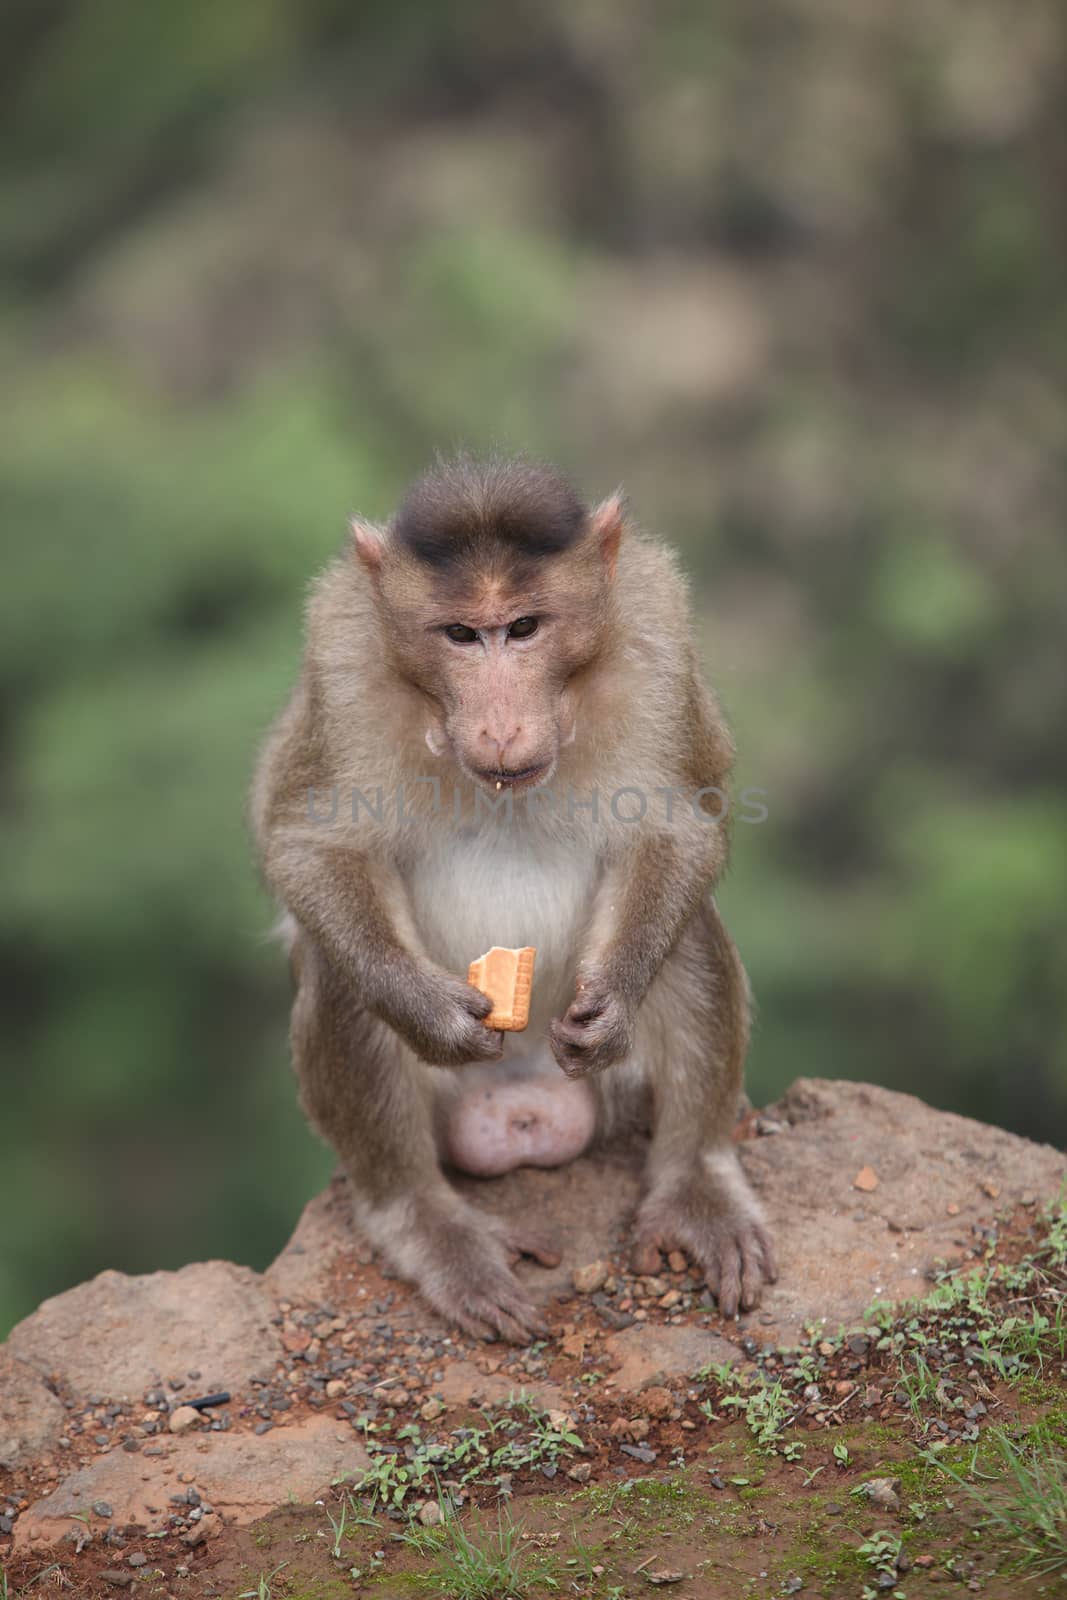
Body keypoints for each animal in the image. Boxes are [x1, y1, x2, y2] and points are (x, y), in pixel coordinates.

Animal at [251, 451, 777, 1337]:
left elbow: (679, 823)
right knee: (341, 978)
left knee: (688, 936)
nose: (500, 724)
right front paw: (426, 1009)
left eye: (524, 628)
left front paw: (615, 998)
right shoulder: (342, 658)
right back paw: (428, 1224)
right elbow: (308, 843)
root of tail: (527, 1110)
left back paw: (696, 1184)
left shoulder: (655, 633)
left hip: (609, 1096)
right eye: (462, 635)